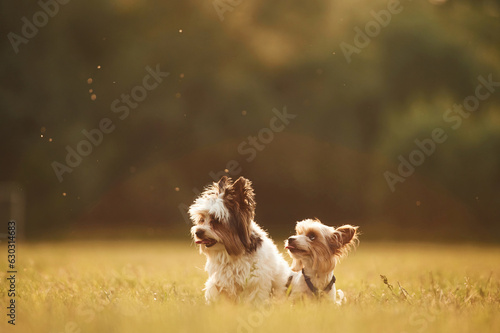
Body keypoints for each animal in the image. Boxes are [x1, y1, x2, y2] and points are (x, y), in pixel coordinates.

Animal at [188, 176, 292, 304]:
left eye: (216, 221)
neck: (230, 253)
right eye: (202, 219)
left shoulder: (256, 281)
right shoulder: (219, 282)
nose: (198, 232)